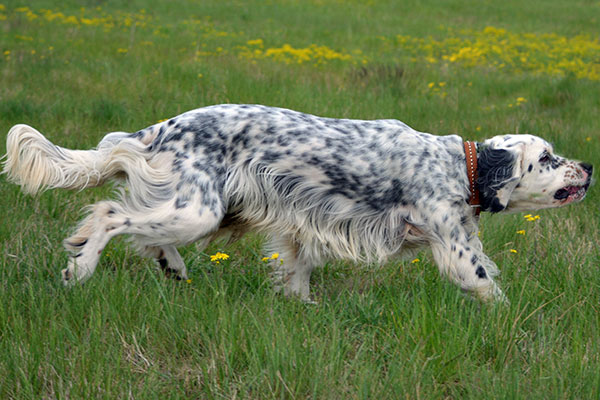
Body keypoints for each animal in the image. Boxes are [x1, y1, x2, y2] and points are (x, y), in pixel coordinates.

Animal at [2, 104, 592, 304]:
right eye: (548, 157)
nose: (587, 168)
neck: (458, 165)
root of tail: (161, 129)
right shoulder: (454, 244)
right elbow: (488, 286)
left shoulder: (304, 221)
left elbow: (296, 269)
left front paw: (302, 306)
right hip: (197, 210)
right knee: (110, 215)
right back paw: (80, 267)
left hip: (204, 209)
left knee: (149, 236)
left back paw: (171, 266)